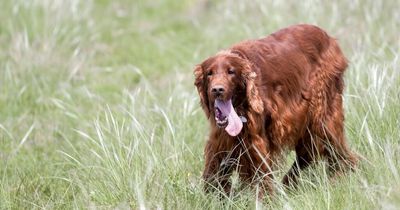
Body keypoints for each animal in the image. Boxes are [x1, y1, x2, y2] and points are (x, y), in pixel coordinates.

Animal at [192, 24, 358, 195]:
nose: (217, 90)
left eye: (231, 72)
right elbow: (213, 171)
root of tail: (328, 37)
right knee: (307, 155)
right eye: (209, 73)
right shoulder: (220, 140)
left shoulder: (255, 142)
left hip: (322, 116)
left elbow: (260, 175)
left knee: (337, 152)